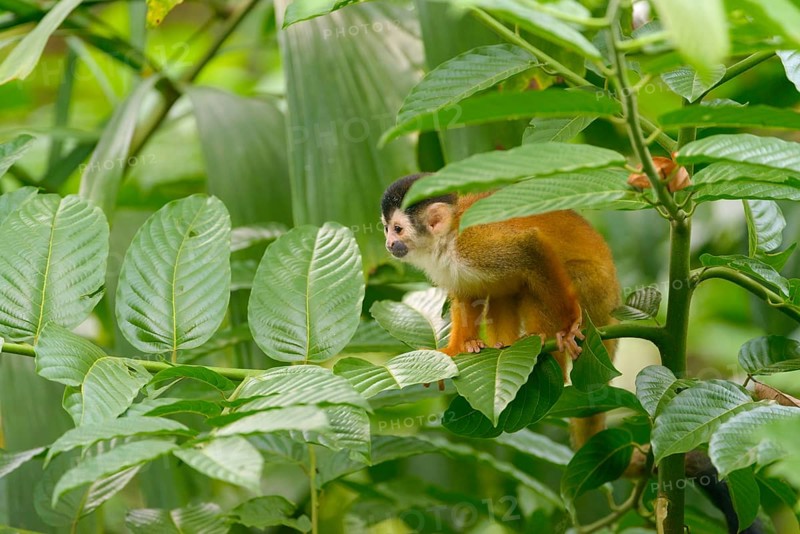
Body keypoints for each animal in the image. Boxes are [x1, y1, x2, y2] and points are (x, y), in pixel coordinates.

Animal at [381, 173, 621, 447]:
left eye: (398, 229)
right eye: (386, 228)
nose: (389, 243)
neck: (446, 241)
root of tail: (613, 301)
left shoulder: (473, 243)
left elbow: (530, 246)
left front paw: (570, 323)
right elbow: (467, 294)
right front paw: (454, 349)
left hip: (593, 291)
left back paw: (547, 344)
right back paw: (501, 343)